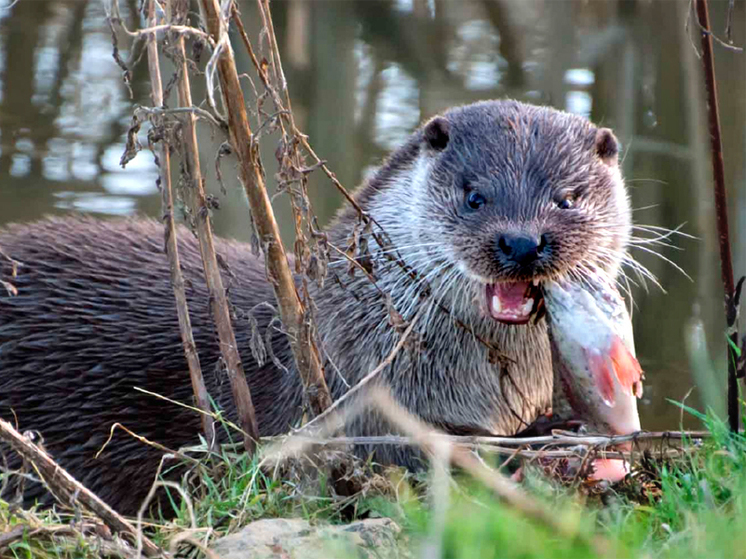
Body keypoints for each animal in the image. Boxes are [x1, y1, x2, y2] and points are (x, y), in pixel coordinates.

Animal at [0, 98, 628, 516]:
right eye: (476, 196)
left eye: (567, 199)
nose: (521, 242)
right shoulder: (355, 405)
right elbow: (422, 452)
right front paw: (542, 436)